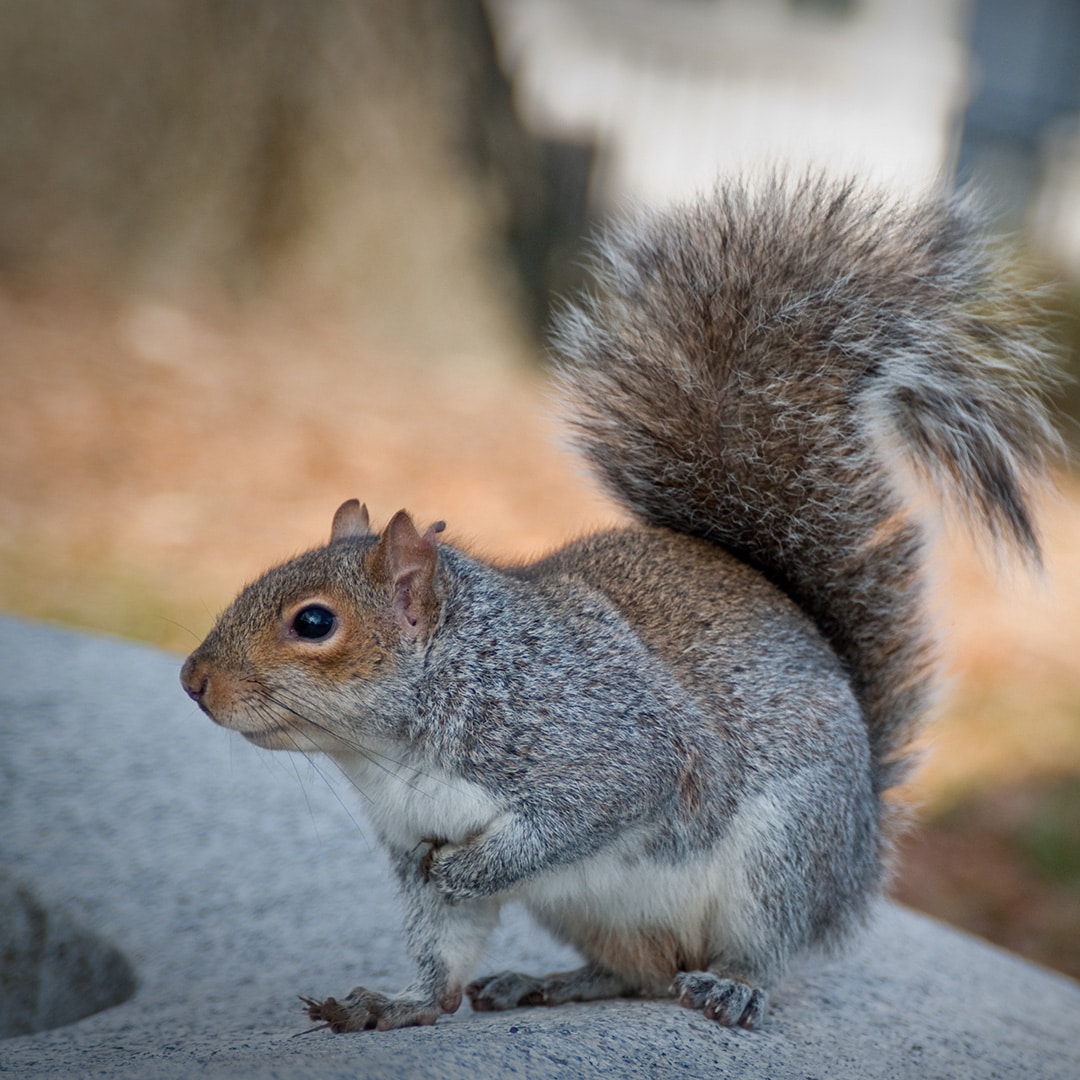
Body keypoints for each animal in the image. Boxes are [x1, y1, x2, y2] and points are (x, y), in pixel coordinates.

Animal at [181, 172, 1058, 1032]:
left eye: (314, 622)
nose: (192, 680)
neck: (396, 746)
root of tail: (859, 849)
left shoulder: (607, 747)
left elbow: (576, 818)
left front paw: (473, 868)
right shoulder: (409, 842)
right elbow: (442, 953)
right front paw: (396, 1003)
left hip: (781, 854)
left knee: (754, 948)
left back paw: (732, 986)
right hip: (594, 912)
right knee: (639, 973)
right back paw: (549, 982)